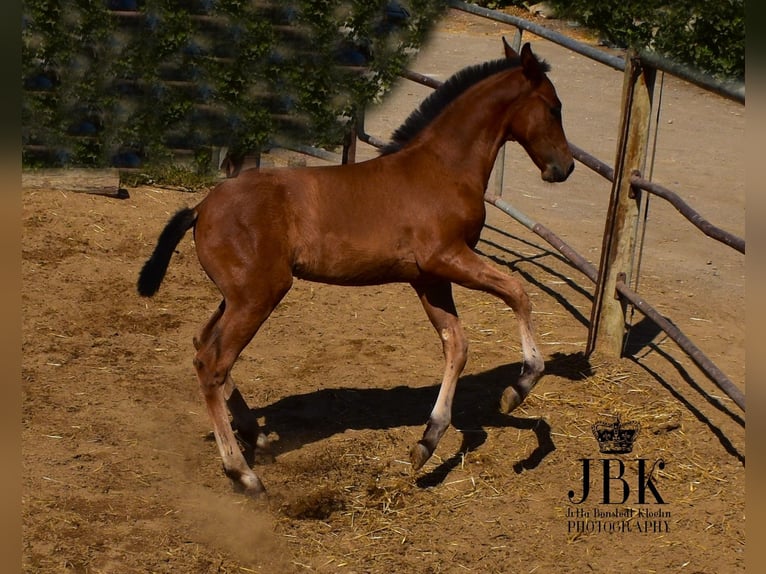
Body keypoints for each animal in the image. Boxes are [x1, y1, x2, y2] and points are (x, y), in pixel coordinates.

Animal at [137, 40, 574, 496]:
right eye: (554, 107)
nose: (564, 167)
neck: (443, 168)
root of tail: (201, 208)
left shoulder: (430, 278)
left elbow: (456, 344)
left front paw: (427, 441)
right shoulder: (448, 258)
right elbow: (518, 293)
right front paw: (519, 386)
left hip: (237, 296)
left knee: (201, 344)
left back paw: (255, 434)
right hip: (258, 295)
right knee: (212, 363)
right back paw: (243, 472)